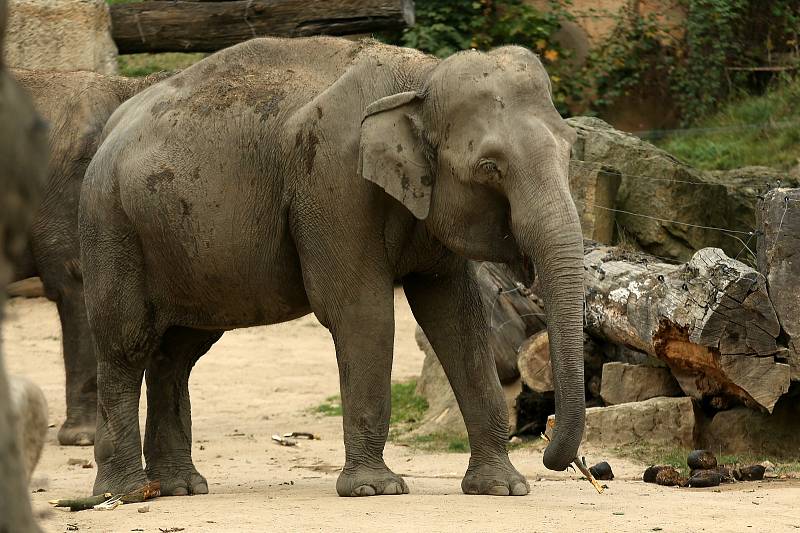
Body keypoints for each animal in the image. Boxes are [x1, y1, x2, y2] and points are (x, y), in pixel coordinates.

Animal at [81, 35, 584, 496]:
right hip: (112, 227)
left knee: (177, 353)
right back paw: (124, 493)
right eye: (489, 167)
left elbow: (457, 318)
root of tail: (110, 130)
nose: (551, 452)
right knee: (125, 344)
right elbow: (362, 312)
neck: (420, 79)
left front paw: (503, 487)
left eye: (570, 150)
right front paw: (375, 489)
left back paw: (179, 487)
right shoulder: (332, 182)